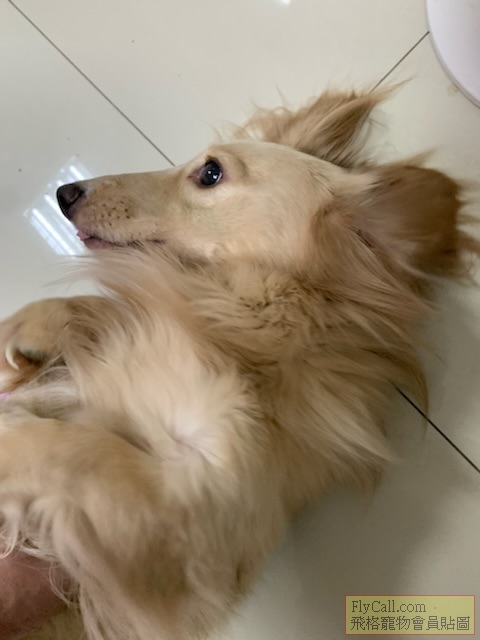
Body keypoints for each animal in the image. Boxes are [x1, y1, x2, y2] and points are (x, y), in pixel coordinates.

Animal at [0, 88, 477, 640]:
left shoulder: (195, 537)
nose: (64, 193)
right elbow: (85, 315)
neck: (233, 336)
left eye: (210, 173)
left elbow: (82, 451)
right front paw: (29, 330)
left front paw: (11, 435)